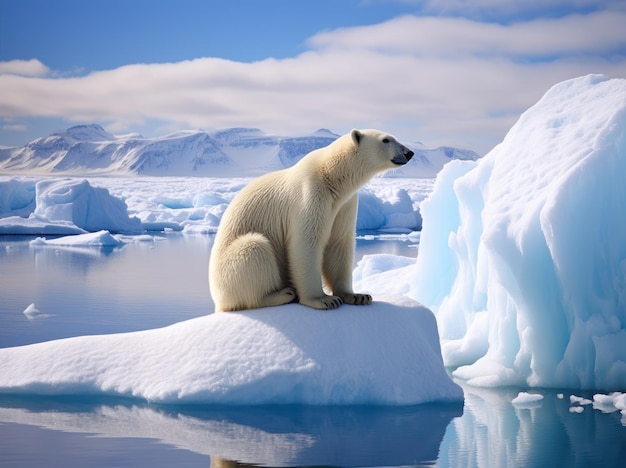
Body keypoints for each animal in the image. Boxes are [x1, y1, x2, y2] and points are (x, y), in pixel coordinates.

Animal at [210, 129, 412, 310]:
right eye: (386, 140)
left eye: (394, 137)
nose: (409, 152)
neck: (331, 175)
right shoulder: (311, 194)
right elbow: (306, 242)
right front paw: (323, 300)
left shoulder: (344, 204)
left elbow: (339, 243)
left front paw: (357, 296)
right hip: (229, 271)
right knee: (254, 249)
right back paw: (282, 294)